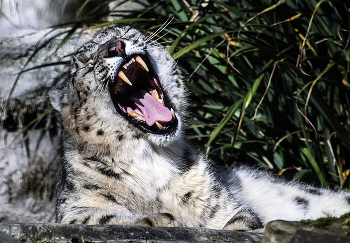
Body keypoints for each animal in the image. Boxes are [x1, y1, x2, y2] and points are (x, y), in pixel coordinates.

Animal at [48, 27, 350, 232]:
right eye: (86, 62)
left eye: (124, 32)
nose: (115, 46)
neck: (151, 158)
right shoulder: (74, 207)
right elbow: (97, 216)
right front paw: (158, 219)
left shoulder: (220, 203)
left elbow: (240, 219)